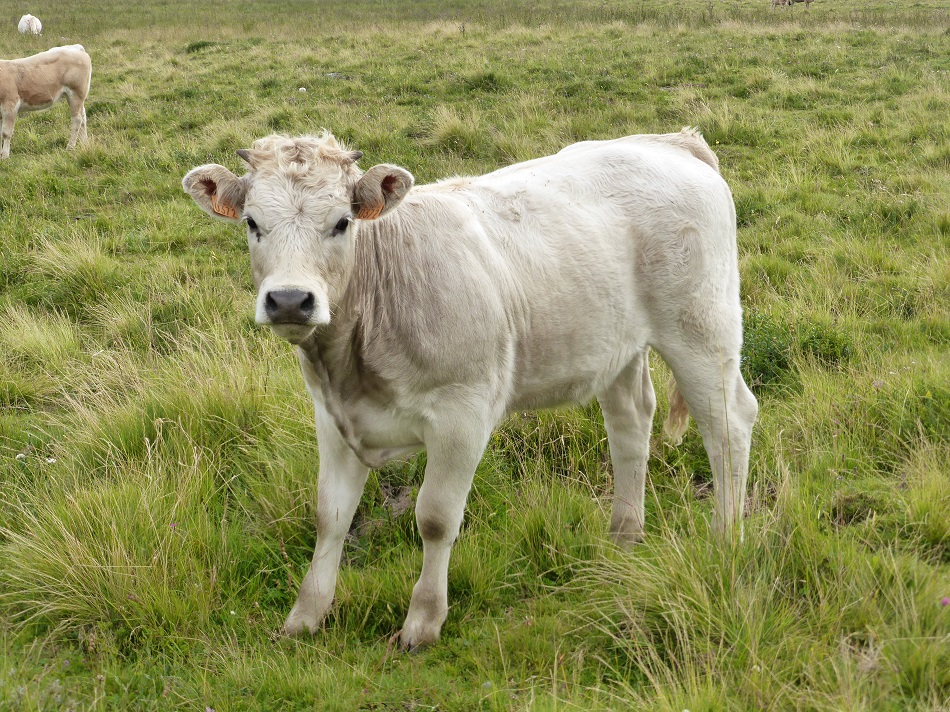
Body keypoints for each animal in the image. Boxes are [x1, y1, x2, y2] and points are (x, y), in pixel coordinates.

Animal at [182, 128, 764, 652]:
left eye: (341, 223)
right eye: (253, 223)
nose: (289, 300)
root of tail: (670, 141)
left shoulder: (463, 412)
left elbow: (436, 518)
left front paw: (422, 622)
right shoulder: (333, 417)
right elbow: (330, 515)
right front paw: (304, 617)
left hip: (701, 328)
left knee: (729, 423)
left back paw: (725, 540)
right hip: (616, 345)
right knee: (631, 424)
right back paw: (624, 537)